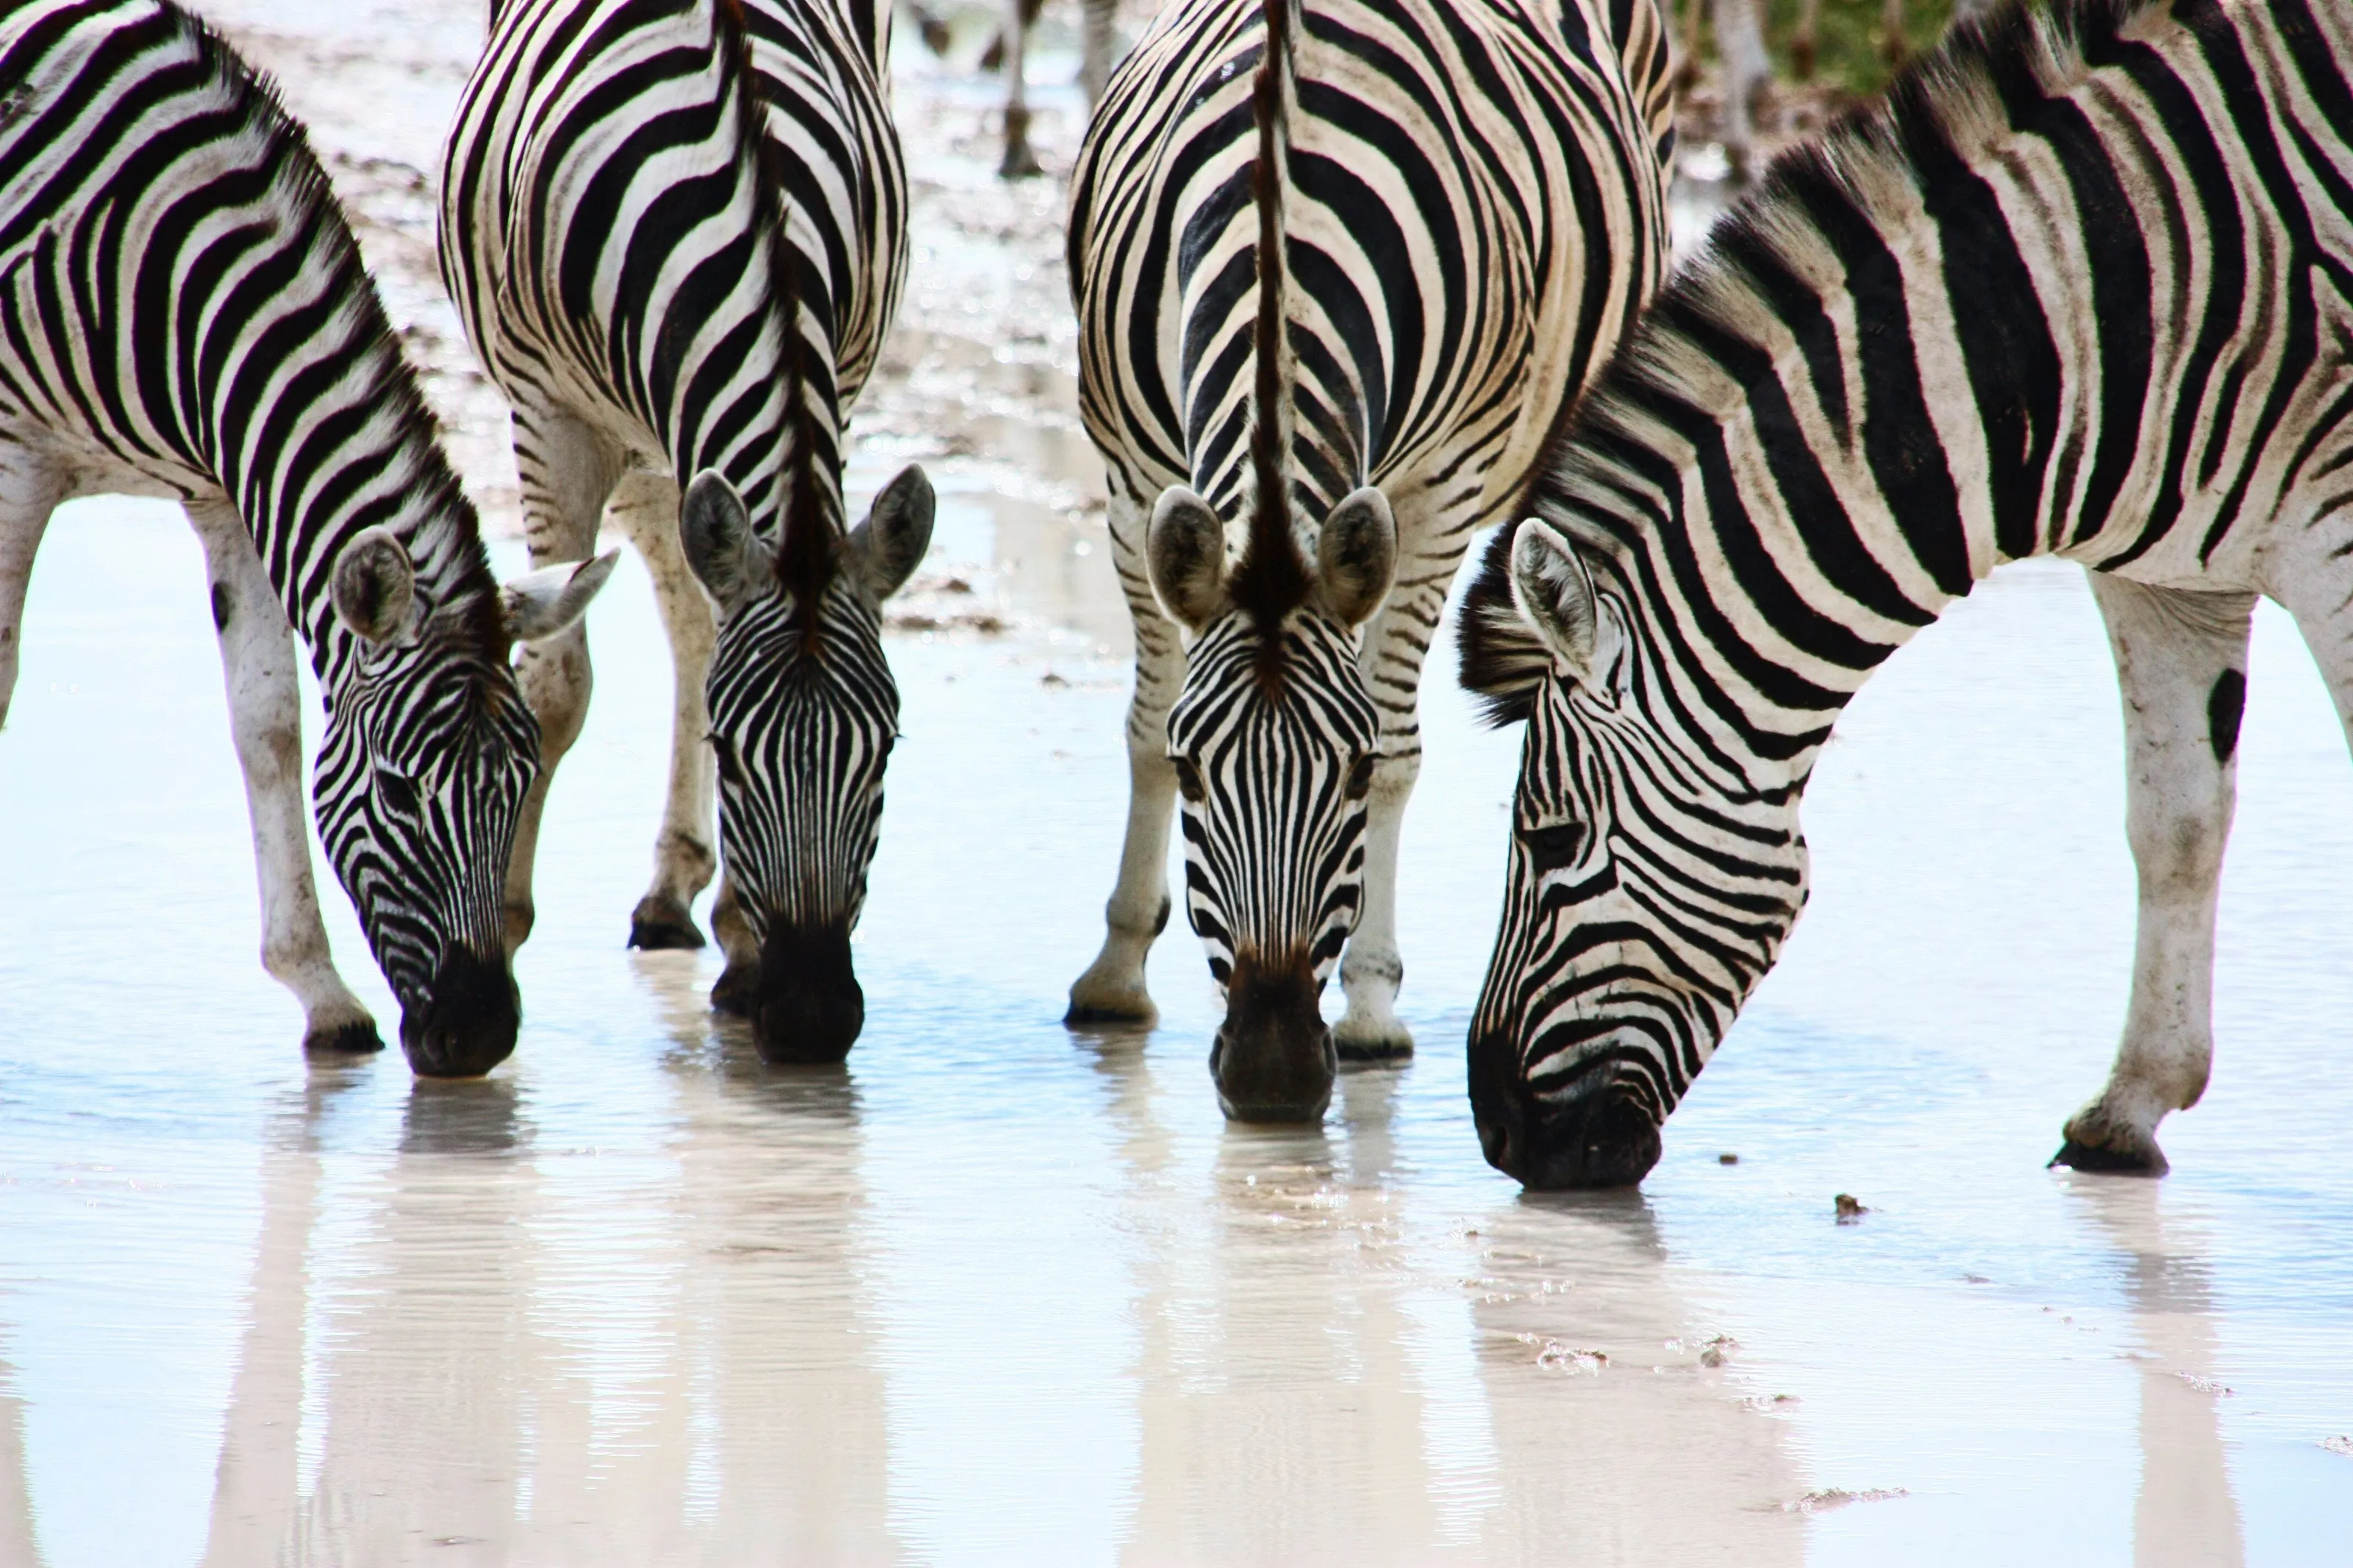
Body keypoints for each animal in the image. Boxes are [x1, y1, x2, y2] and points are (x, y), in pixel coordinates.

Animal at [0, 0, 611, 1076]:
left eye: (522, 783)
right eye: (402, 795)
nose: (481, 1038)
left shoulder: (231, 487)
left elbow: (270, 723)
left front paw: (320, 992)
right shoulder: (18, 455)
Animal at [442, 0, 932, 1063]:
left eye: (885, 752)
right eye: (732, 751)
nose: (812, 1018)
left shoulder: (841, 374)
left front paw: (743, 943)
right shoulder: (554, 415)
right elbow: (556, 688)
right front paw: (502, 926)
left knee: (696, 609)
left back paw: (682, 895)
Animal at [1064, 0, 1676, 1118]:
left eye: (1343, 772)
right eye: (1194, 767)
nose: (1269, 1079)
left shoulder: (1435, 495)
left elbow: (1400, 748)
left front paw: (1371, 1006)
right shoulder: (1132, 479)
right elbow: (1138, 726)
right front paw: (1116, 974)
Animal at [1457, 0, 2353, 1187]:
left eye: (1550, 842)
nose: (1499, 1132)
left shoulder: (2336, 533)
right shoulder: (2164, 579)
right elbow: (2173, 822)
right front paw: (2129, 1105)